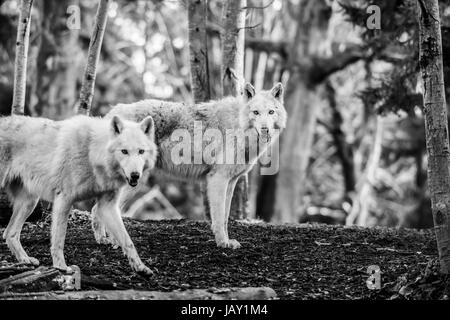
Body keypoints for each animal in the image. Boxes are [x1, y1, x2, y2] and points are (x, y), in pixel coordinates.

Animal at [0, 114, 157, 274]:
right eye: (124, 151)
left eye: (141, 151)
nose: (135, 175)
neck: (92, 152)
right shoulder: (64, 199)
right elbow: (59, 238)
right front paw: (61, 266)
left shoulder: (107, 206)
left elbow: (127, 240)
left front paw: (140, 267)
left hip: (30, 202)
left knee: (9, 234)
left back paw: (25, 260)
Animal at [96, 81, 286, 249]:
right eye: (256, 112)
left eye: (271, 112)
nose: (265, 129)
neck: (237, 124)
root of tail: (113, 112)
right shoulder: (218, 179)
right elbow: (218, 217)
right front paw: (222, 243)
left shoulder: (231, 181)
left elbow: (225, 217)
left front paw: (227, 241)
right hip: (134, 181)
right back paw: (114, 242)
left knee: (96, 209)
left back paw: (103, 240)